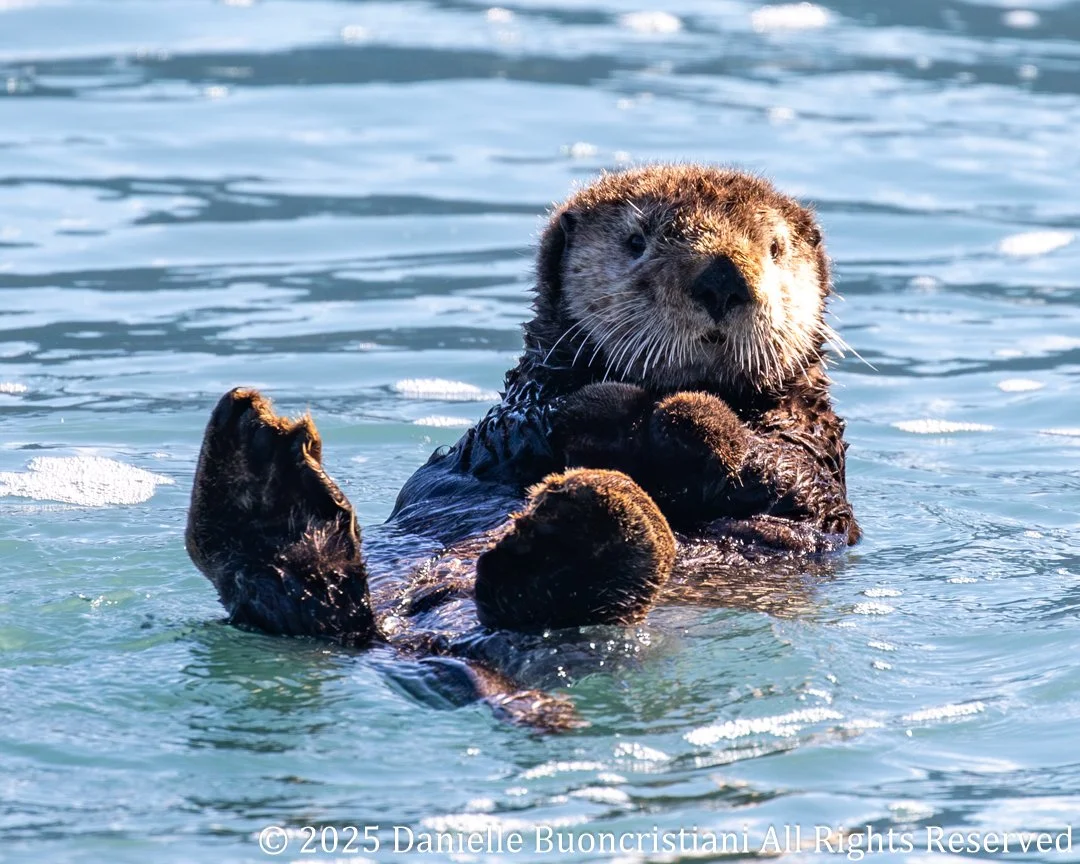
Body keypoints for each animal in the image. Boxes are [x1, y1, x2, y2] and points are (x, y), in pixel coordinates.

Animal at [185, 164, 859, 729]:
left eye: (775, 249)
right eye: (637, 241)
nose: (723, 278)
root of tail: (406, 642)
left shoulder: (815, 462)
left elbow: (785, 473)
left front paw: (684, 417)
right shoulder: (509, 423)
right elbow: (539, 426)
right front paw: (612, 409)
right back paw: (260, 473)